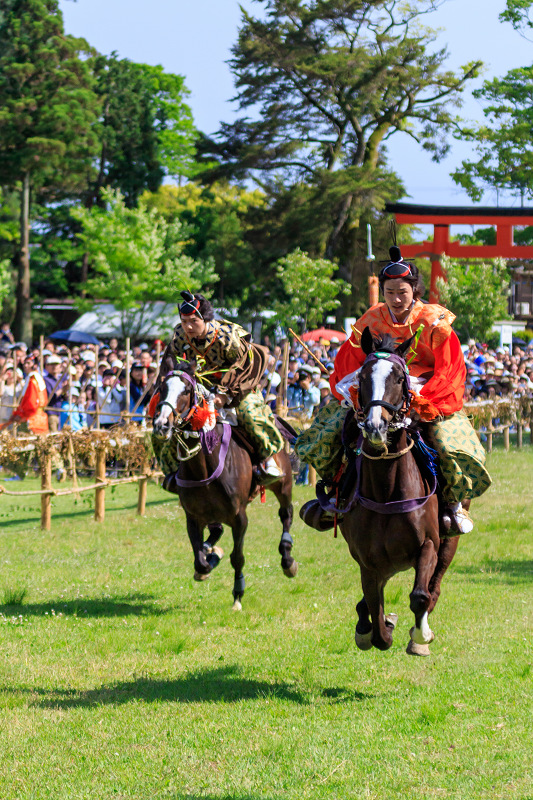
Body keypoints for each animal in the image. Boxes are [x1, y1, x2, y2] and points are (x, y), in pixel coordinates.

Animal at [152, 366, 298, 608]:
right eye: (162, 388)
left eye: (186, 391)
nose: (162, 424)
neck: (203, 468)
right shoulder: (193, 517)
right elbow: (199, 560)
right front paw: (210, 559)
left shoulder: (239, 517)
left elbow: (237, 557)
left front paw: (238, 593)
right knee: (216, 531)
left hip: (283, 484)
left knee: (286, 513)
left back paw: (288, 559)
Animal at [336, 326, 458, 656]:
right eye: (363, 376)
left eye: (400, 379)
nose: (376, 426)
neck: (387, 490)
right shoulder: (367, 561)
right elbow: (375, 616)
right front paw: (378, 628)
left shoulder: (428, 544)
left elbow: (420, 595)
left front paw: (420, 635)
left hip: (448, 543)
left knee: (434, 587)